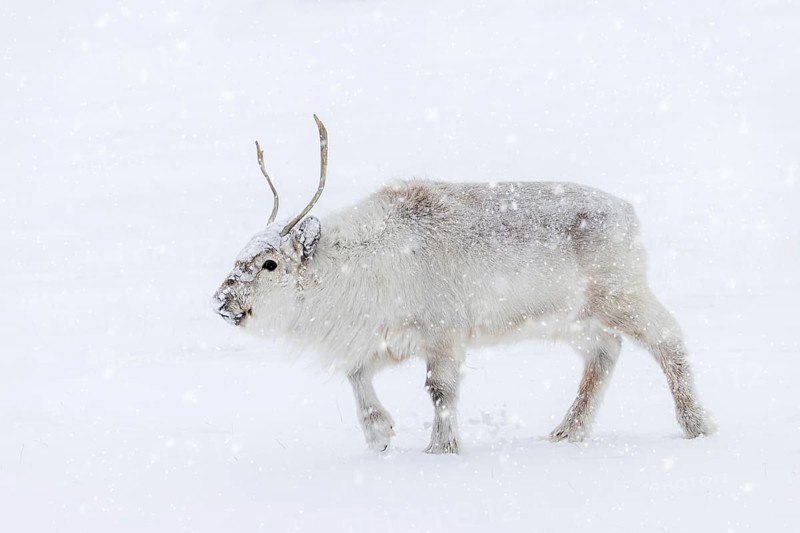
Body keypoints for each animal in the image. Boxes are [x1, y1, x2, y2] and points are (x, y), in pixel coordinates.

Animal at [211, 115, 714, 454]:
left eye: (270, 263)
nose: (220, 301)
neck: (354, 266)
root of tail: (630, 213)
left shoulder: (443, 332)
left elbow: (440, 390)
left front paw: (441, 449)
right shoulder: (388, 338)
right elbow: (356, 375)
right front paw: (380, 436)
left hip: (621, 295)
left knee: (667, 338)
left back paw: (697, 426)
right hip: (573, 320)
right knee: (604, 353)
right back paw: (566, 432)